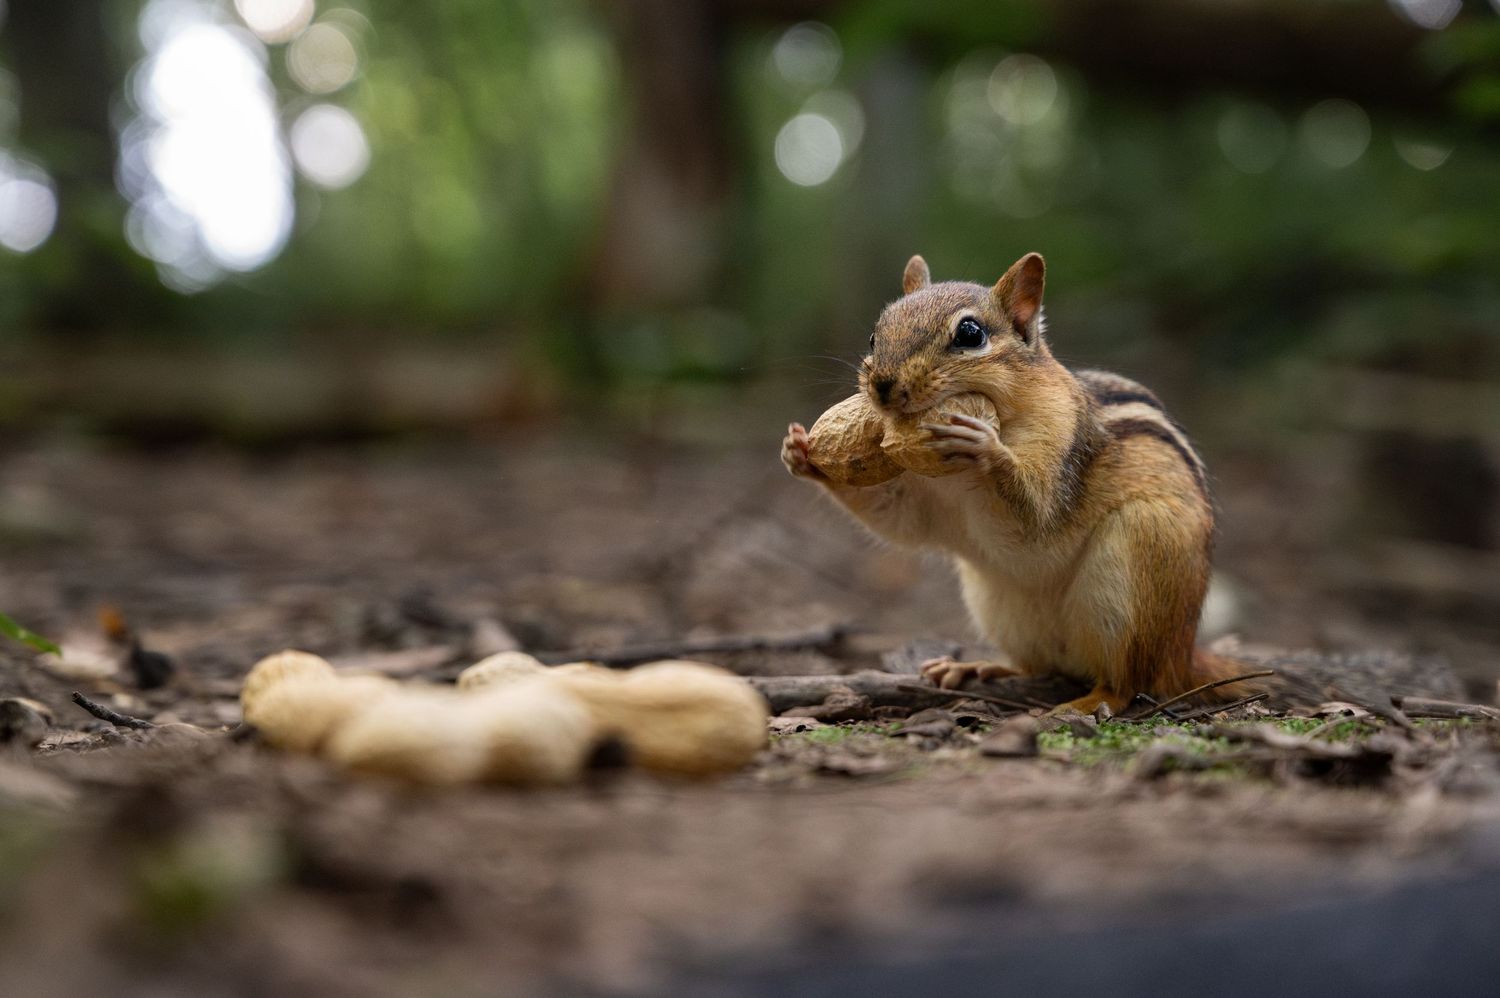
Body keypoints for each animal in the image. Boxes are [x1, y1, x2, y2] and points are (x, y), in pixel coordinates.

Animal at [780, 252, 1252, 716]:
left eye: (970, 334)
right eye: (874, 335)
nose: (881, 386)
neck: (958, 478)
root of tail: (1183, 653)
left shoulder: (1061, 444)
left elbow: (1037, 522)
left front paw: (985, 447)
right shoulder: (923, 495)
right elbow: (901, 522)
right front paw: (801, 452)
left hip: (1137, 569)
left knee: (1131, 681)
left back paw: (1092, 700)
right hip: (999, 605)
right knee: (1041, 666)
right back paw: (980, 668)